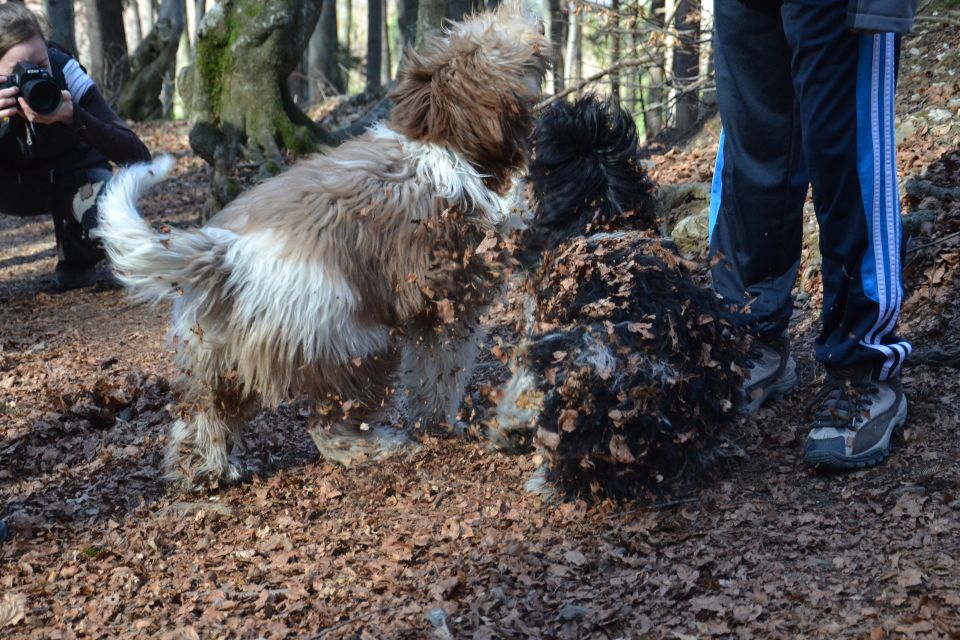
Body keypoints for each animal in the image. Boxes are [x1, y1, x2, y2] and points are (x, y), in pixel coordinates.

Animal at [94, 5, 552, 488]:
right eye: (496, 39)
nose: (539, 23)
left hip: (214, 357)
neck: (440, 140)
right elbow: (440, 372)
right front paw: (441, 423)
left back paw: (209, 470)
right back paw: (376, 446)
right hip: (354, 342)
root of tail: (225, 256)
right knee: (329, 425)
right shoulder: (451, 303)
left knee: (205, 418)